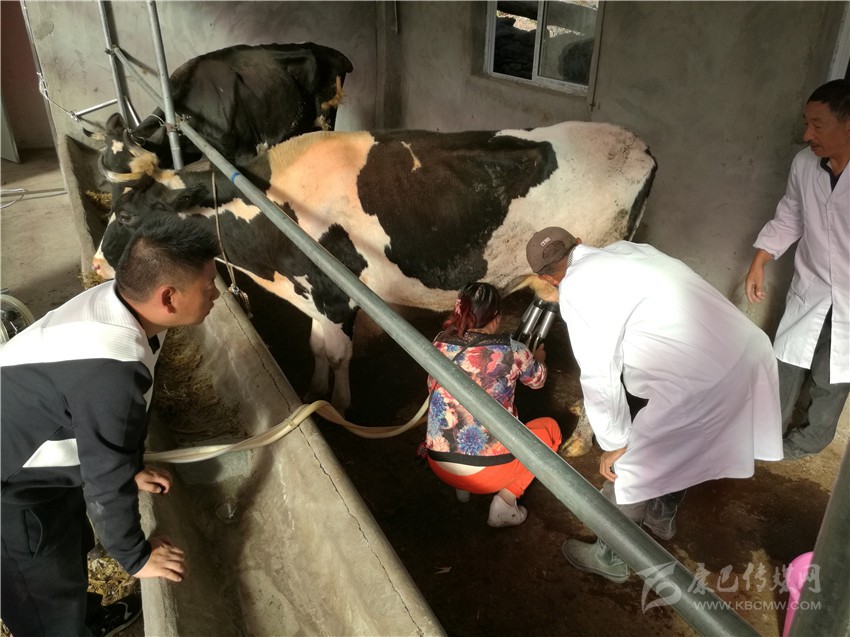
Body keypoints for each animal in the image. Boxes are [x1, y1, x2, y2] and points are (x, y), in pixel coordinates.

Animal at [94, 122, 656, 455]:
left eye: (128, 214)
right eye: (112, 204)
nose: (97, 265)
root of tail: (636, 143)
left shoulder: (338, 292)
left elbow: (339, 353)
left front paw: (341, 405)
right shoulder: (313, 295)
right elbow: (317, 347)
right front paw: (314, 392)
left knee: (604, 373)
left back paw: (585, 442)